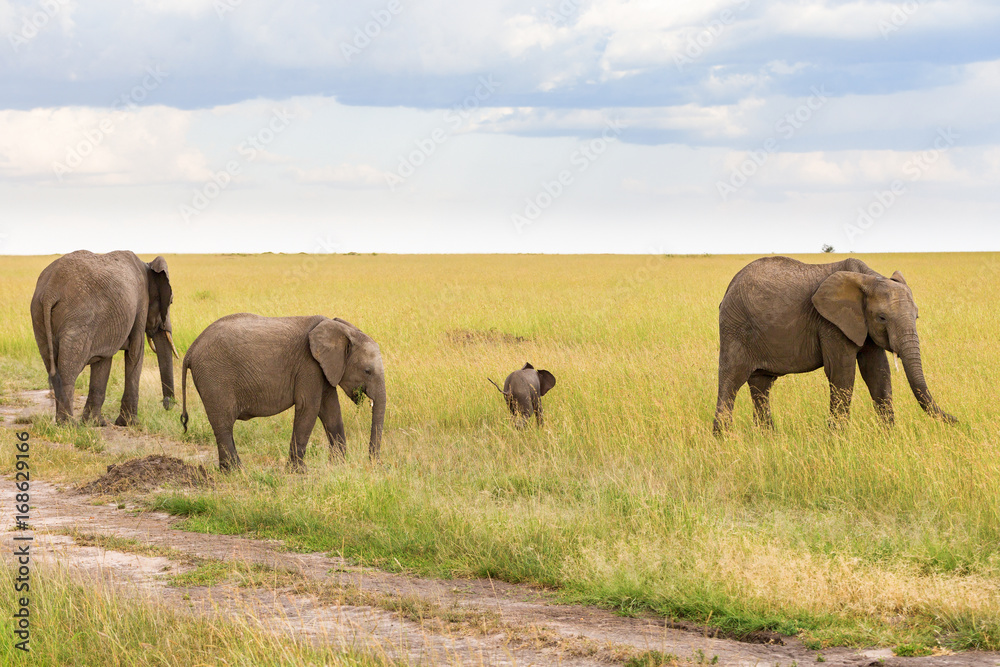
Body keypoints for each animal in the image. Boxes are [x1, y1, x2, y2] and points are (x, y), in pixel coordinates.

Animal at [30, 250, 180, 428]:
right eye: (171, 301)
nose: (168, 404)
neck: (147, 265)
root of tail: (50, 290)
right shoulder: (141, 304)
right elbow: (135, 353)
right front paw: (130, 423)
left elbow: (103, 360)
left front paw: (95, 423)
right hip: (79, 319)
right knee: (69, 369)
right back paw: (69, 425)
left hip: (38, 315)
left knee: (52, 365)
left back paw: (63, 423)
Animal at [180, 316, 386, 472]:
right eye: (367, 371)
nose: (374, 464)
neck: (342, 331)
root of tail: (191, 349)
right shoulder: (309, 366)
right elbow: (309, 407)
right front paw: (298, 471)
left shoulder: (325, 370)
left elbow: (331, 410)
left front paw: (337, 466)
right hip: (214, 377)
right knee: (223, 423)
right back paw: (236, 471)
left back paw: (229, 470)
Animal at [716, 256, 956, 434]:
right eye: (882, 318)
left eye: (917, 317)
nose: (958, 420)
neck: (868, 278)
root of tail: (729, 287)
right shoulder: (830, 323)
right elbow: (842, 372)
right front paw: (839, 439)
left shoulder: (861, 325)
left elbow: (877, 372)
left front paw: (889, 436)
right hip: (735, 327)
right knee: (731, 380)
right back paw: (724, 440)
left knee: (761, 385)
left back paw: (768, 437)